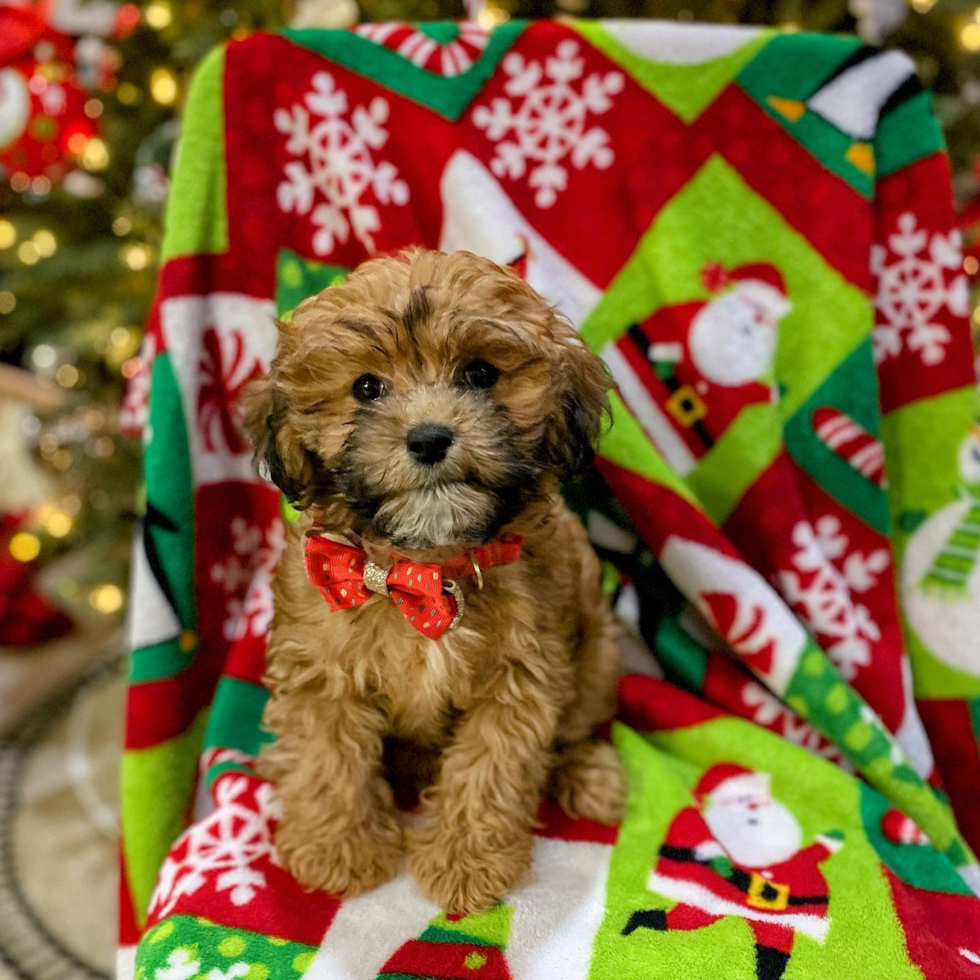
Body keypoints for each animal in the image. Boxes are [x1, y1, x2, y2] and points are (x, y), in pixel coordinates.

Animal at [247, 249, 628, 916]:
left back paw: (588, 774)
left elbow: (490, 769)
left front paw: (466, 863)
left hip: (597, 655)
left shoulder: (521, 677)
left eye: (480, 374)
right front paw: (338, 849)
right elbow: (328, 757)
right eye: (366, 387)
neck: (422, 569)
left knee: (575, 726)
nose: (428, 437)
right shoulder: (320, 666)